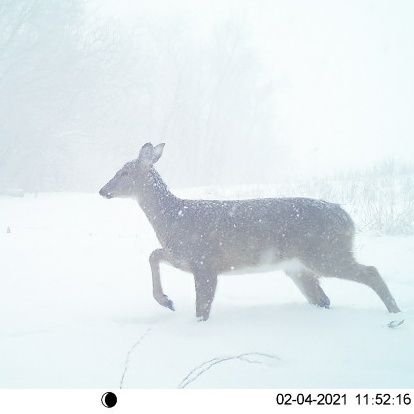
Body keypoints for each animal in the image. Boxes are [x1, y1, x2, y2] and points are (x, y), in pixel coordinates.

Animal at [98, 142, 400, 320]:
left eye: (124, 172)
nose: (103, 190)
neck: (172, 218)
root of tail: (347, 218)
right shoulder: (183, 256)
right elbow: (153, 254)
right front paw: (166, 301)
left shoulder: (204, 260)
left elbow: (202, 306)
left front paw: (184, 314)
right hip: (299, 268)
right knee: (323, 299)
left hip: (325, 252)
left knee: (370, 271)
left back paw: (395, 315)